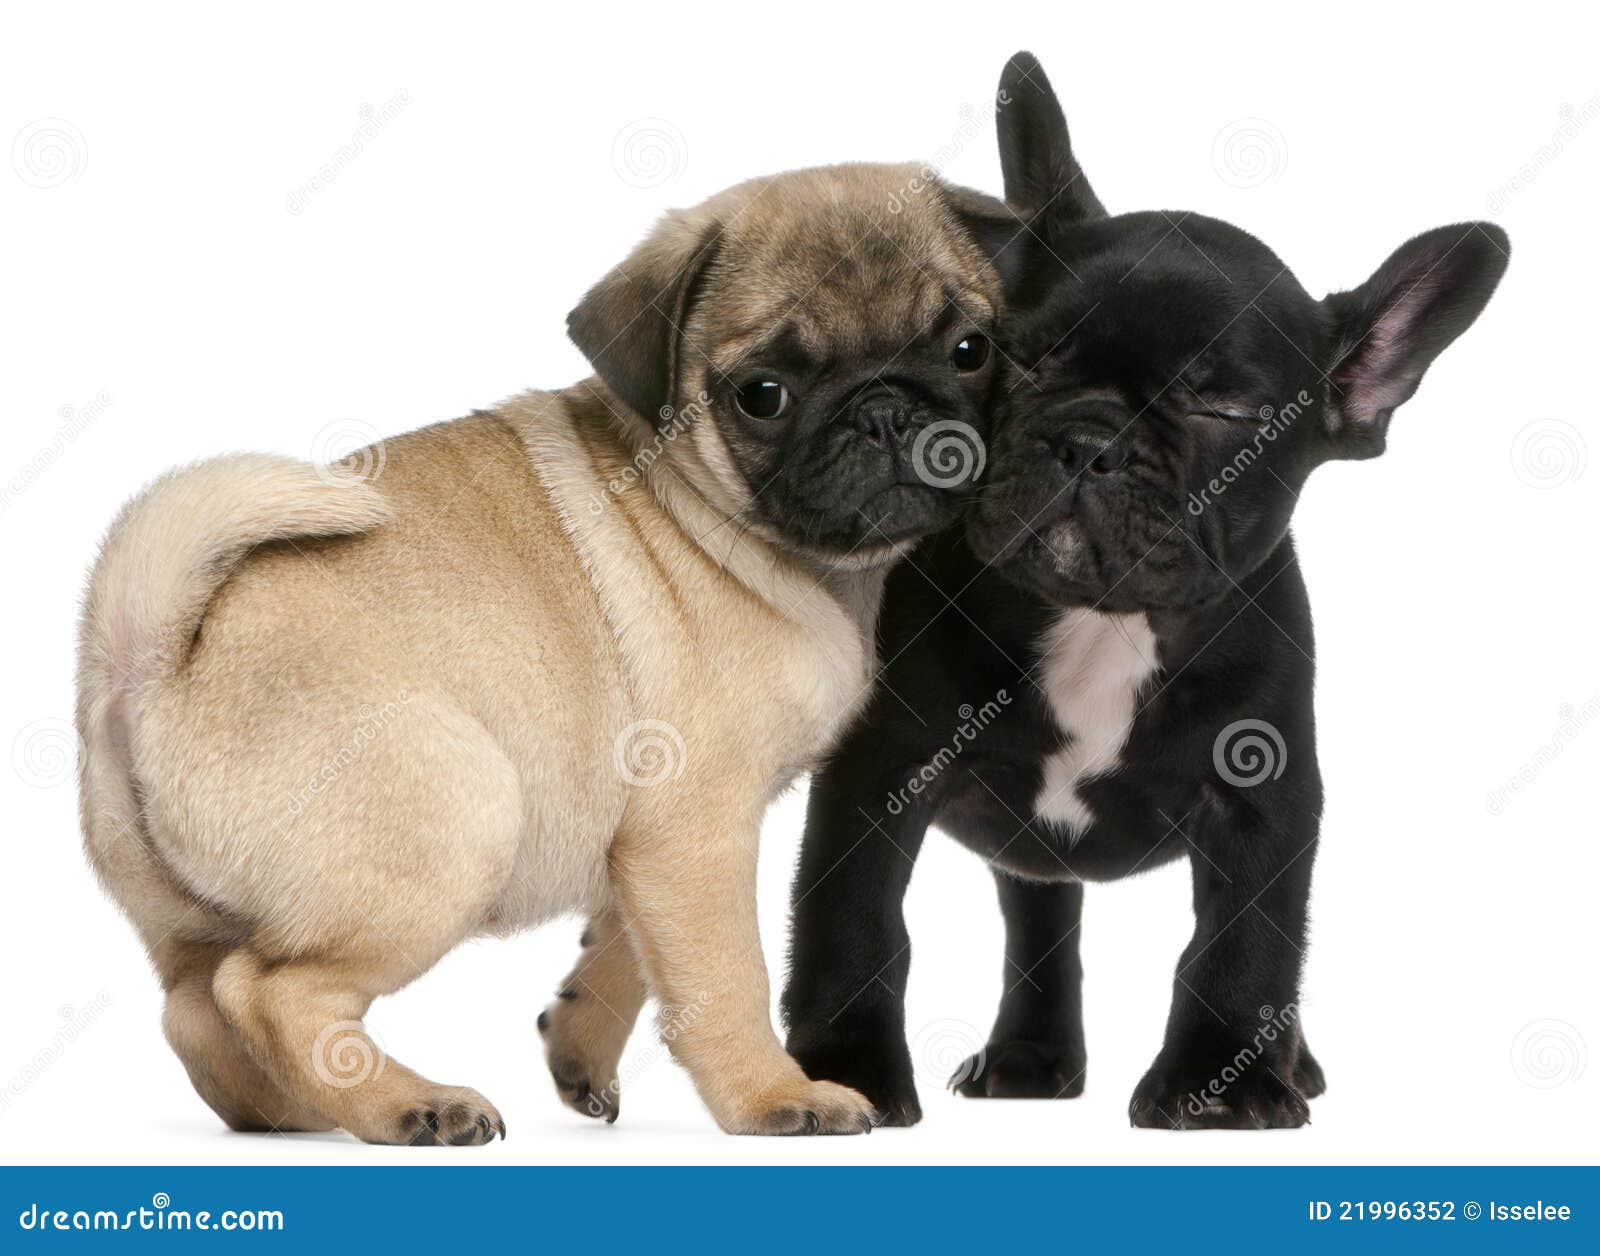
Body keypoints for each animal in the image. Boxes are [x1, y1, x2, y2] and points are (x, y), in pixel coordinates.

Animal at [81, 159, 1004, 1139]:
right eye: (764, 394)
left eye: (969, 349)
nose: (885, 411)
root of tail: (157, 658)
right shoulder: (699, 828)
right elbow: (722, 979)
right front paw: (772, 1096)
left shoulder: (651, 849)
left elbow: (630, 956)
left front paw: (580, 1048)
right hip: (455, 829)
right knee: (268, 991)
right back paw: (411, 1107)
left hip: (185, 919)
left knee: (196, 1012)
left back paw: (297, 1109)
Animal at [780, 54, 1504, 1126]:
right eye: (1012, 352)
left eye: (1226, 408)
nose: (1090, 438)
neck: (1101, 623)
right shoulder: (878, 772)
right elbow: (854, 927)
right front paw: (847, 1071)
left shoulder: (1265, 801)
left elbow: (1243, 945)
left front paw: (1216, 1083)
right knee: (1041, 922)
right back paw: (1029, 1056)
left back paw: (1286, 1061)